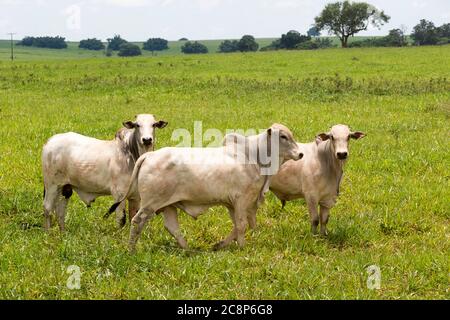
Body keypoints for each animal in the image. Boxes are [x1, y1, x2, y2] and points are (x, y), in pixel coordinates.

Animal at [109, 124, 302, 251]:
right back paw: (131, 249)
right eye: (283, 137)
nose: (300, 154)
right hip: (150, 204)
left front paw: (219, 245)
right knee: (137, 221)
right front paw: (242, 247)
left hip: (168, 205)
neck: (254, 156)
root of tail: (149, 156)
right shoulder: (242, 200)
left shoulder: (233, 204)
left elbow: (238, 225)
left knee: (172, 227)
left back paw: (188, 250)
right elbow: (241, 225)